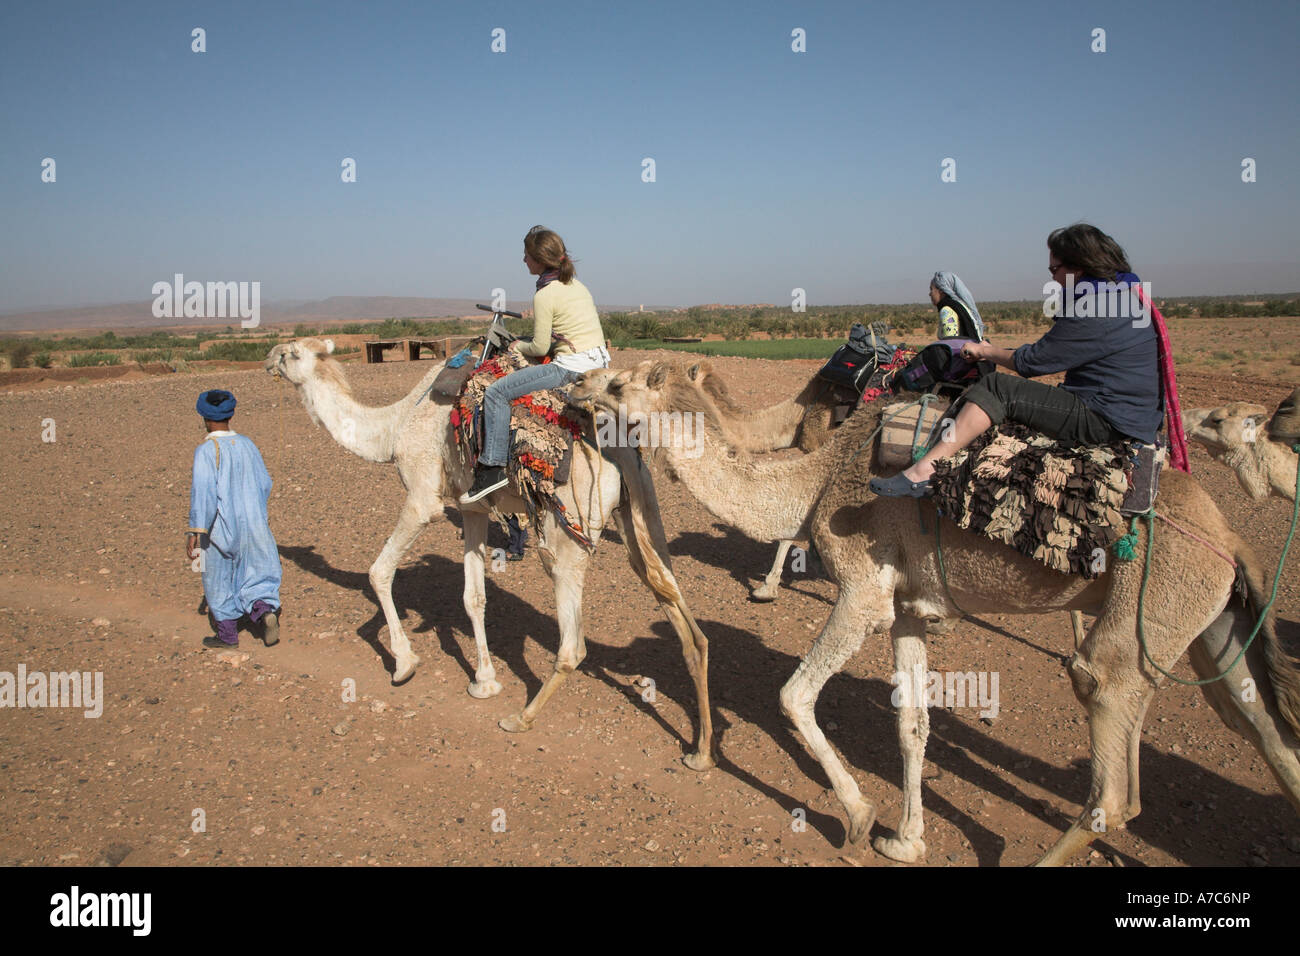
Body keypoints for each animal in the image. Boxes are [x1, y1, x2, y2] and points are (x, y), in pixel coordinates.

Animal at [264, 339, 716, 769]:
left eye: (290, 353)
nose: (269, 358)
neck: (396, 427)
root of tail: (617, 444)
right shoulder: (472, 508)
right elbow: (473, 597)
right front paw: (484, 680)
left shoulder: (422, 497)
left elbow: (378, 572)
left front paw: (404, 664)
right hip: (641, 512)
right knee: (677, 607)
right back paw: (701, 751)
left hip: (568, 531)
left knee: (573, 643)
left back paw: (521, 718)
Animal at [571, 358, 1300, 865]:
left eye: (621, 384)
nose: (578, 386)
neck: (815, 484)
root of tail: (1230, 536)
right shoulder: (909, 610)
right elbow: (913, 724)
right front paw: (906, 839)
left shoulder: (862, 593)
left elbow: (793, 696)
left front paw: (859, 819)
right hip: (1208, 619)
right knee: (1264, 733)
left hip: (1159, 596)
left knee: (1110, 757)